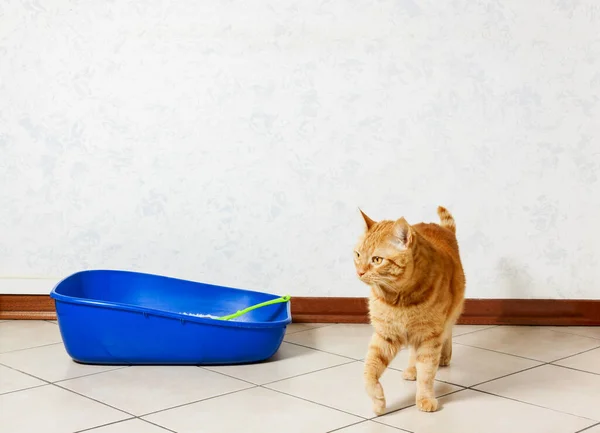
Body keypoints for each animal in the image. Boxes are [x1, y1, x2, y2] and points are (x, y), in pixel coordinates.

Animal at [354, 204, 466, 414]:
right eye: (357, 255)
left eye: (377, 260)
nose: (360, 272)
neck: (399, 300)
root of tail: (441, 227)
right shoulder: (385, 335)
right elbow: (369, 370)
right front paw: (378, 401)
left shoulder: (430, 336)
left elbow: (427, 372)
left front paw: (425, 398)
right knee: (414, 353)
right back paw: (412, 369)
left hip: (445, 319)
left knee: (447, 333)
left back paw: (444, 356)